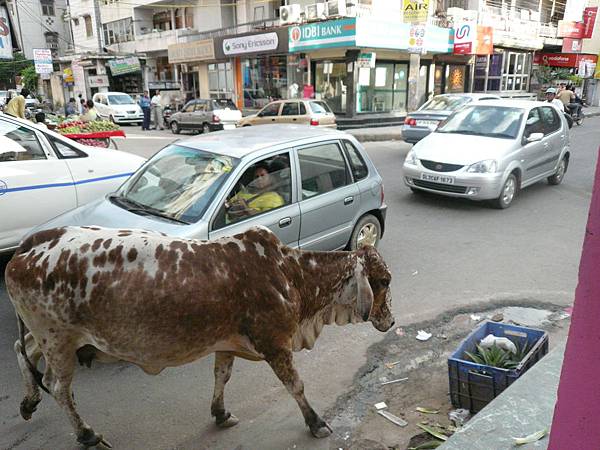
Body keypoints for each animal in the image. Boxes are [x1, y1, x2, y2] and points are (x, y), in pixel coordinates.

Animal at [7, 227, 396, 448]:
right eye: (384, 280)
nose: (390, 321)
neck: (292, 275)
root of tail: (31, 244)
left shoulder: (226, 343)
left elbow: (221, 375)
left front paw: (220, 413)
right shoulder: (275, 343)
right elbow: (296, 386)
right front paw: (316, 423)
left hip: (52, 339)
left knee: (23, 351)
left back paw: (28, 402)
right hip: (59, 340)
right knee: (58, 388)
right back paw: (86, 433)